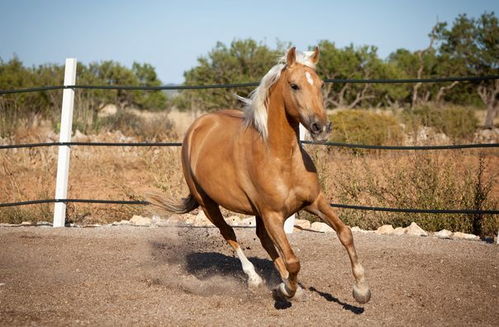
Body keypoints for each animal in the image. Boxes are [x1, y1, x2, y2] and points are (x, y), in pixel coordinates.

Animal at [148, 47, 372, 304]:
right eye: (294, 85)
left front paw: (361, 290)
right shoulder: (273, 215)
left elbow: (345, 233)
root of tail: (198, 126)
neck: (280, 157)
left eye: (321, 84)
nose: (321, 127)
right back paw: (255, 279)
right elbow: (293, 260)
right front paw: (286, 290)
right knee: (229, 233)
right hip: (208, 204)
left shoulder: (315, 201)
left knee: (263, 239)